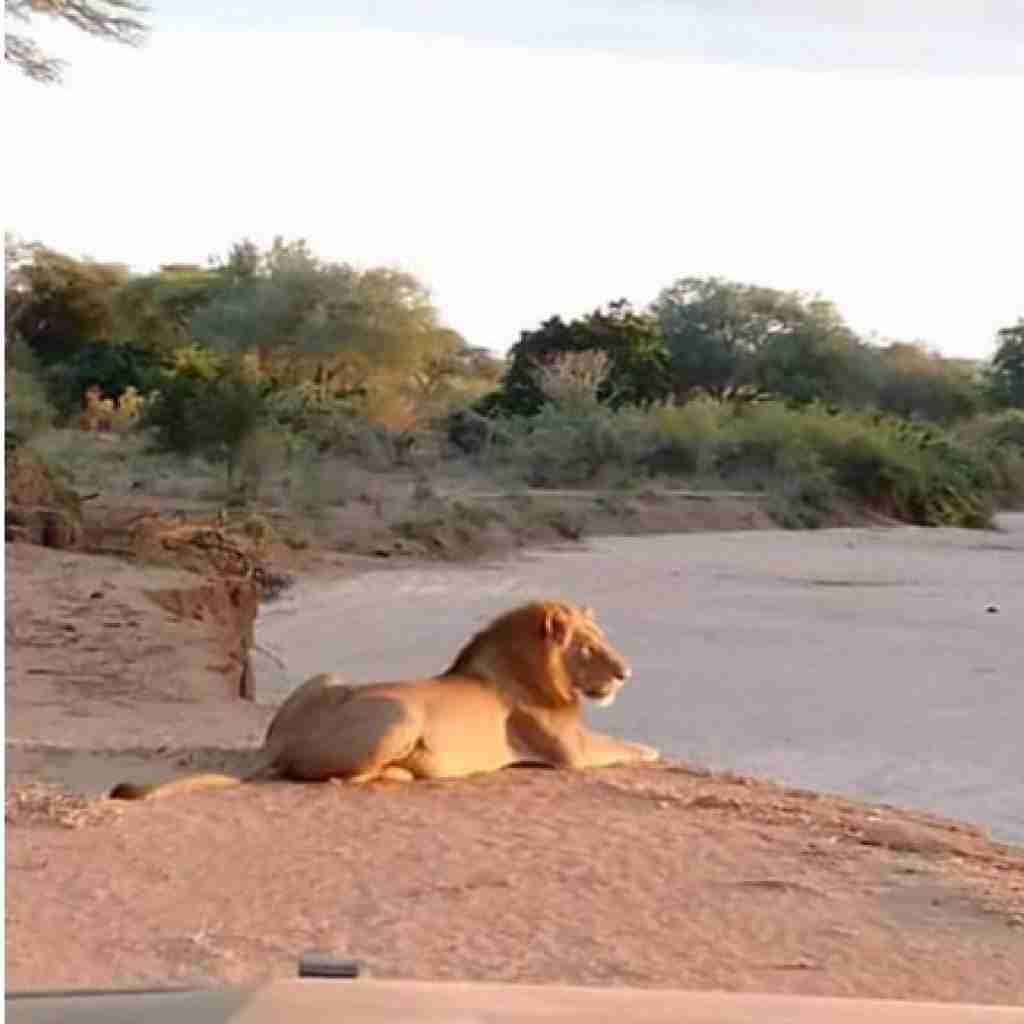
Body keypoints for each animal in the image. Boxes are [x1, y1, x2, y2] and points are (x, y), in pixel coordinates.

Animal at [110, 598, 655, 798]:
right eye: (588, 647)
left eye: (602, 638)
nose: (628, 673)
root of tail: (282, 743)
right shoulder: (570, 752)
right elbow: (625, 746)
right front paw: (651, 750)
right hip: (402, 713)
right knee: (340, 779)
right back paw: (405, 773)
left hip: (329, 676)